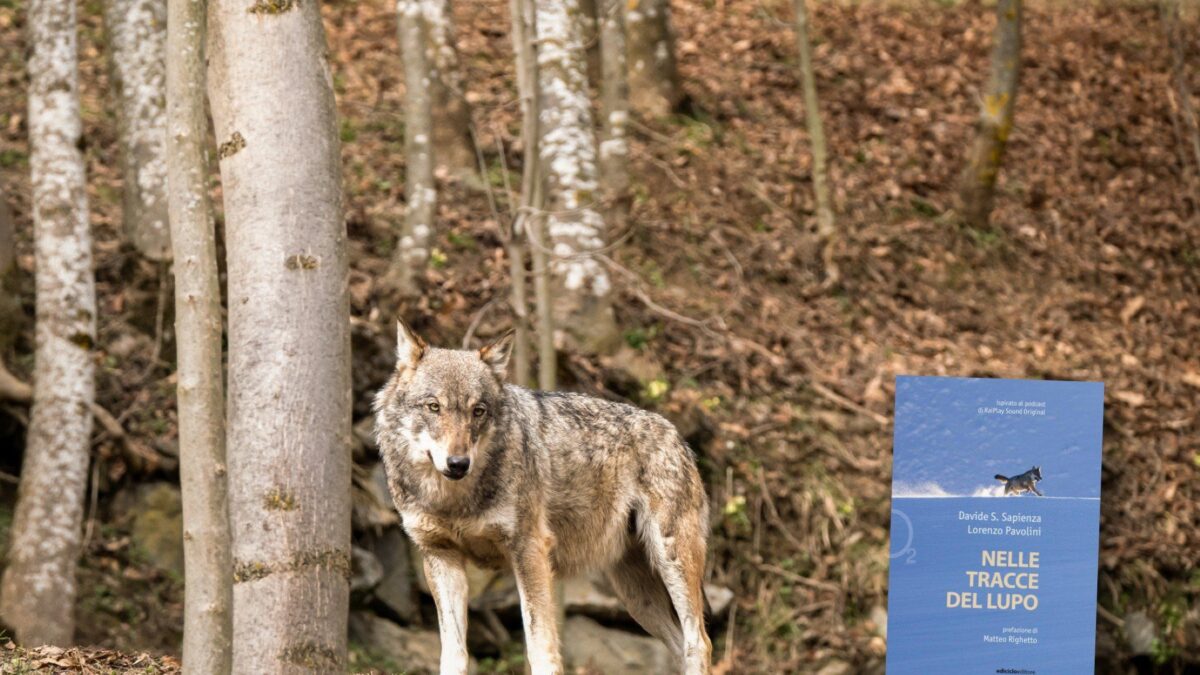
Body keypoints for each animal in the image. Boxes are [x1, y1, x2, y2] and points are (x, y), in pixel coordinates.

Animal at [373, 320, 713, 675]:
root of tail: (678, 437)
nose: (458, 463)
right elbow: (453, 654)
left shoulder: (530, 551)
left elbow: (540, 647)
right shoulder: (441, 556)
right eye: (433, 407)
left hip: (670, 561)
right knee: (680, 645)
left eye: (478, 411)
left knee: (699, 641)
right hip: (636, 596)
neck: (453, 500)